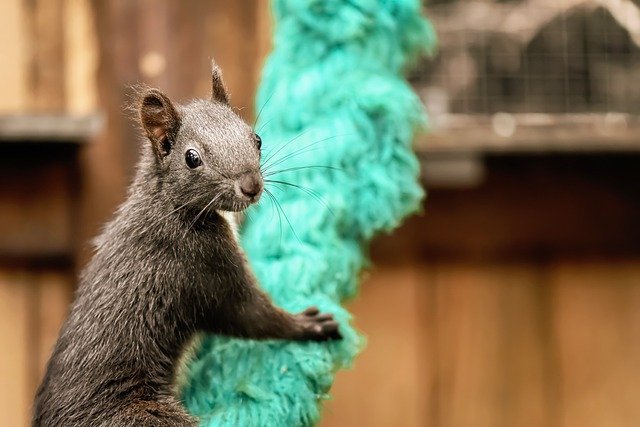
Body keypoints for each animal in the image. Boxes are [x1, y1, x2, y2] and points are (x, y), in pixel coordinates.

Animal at [31, 61, 340, 426]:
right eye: (192, 158)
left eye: (257, 138)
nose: (251, 187)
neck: (170, 205)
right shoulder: (205, 267)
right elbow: (253, 315)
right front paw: (306, 325)